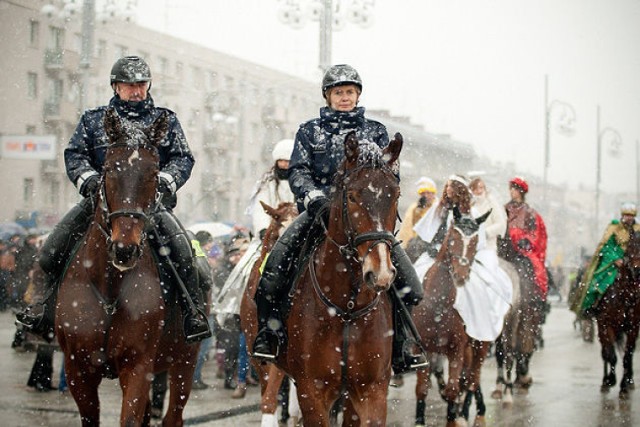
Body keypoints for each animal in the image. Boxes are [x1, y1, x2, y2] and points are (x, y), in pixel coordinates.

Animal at [55, 108, 200, 426]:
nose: (125, 249)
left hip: (185, 361)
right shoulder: (77, 369)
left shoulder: (137, 367)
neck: (110, 288)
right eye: (109, 169)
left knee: (174, 415)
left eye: (154, 175)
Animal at [272, 132, 402, 426]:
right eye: (352, 196)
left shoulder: (372, 390)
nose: (380, 272)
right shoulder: (311, 390)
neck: (347, 307)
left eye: (395, 195)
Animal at [596, 229, 640, 400]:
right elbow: (611, 355)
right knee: (605, 353)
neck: (624, 297)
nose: (637, 270)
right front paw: (610, 380)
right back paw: (604, 381)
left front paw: (623, 387)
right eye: (631, 247)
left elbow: (627, 356)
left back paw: (630, 380)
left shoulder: (633, 328)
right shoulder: (605, 324)